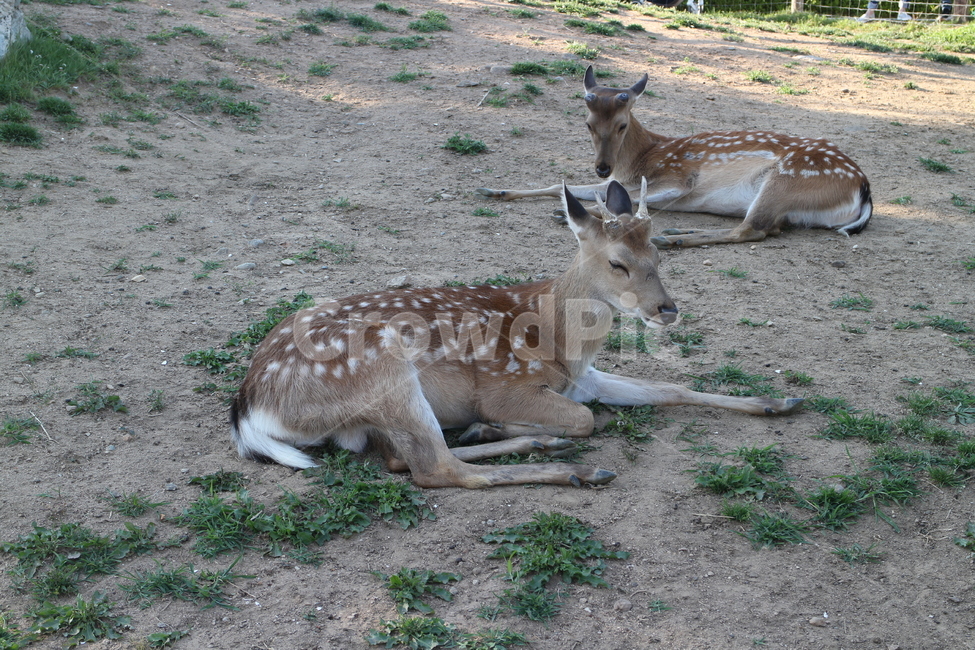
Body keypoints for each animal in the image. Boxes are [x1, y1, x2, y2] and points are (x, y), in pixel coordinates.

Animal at [230, 181, 804, 489]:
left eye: (659, 253)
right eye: (617, 263)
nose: (667, 309)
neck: (560, 342)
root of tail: (250, 409)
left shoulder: (583, 379)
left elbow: (669, 388)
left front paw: (778, 401)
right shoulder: (508, 384)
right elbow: (587, 419)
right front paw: (511, 425)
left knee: (401, 457)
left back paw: (518, 438)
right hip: (382, 369)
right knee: (432, 469)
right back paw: (576, 469)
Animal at [476, 66, 873, 248]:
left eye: (622, 124)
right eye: (587, 123)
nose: (603, 167)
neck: (642, 156)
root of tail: (864, 190)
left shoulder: (679, 178)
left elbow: (631, 201)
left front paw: (567, 214)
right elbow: (566, 185)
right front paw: (493, 190)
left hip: (785, 180)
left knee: (752, 230)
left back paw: (669, 239)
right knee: (769, 227)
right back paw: (679, 230)